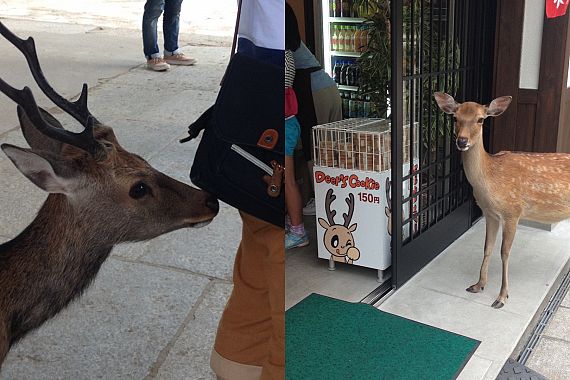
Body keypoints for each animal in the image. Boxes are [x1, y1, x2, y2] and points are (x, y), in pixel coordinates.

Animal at [434, 92, 568, 308]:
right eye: (455, 118)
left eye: (480, 119)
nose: (462, 141)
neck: (490, 181)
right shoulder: (490, 214)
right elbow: (487, 247)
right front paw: (478, 285)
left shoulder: (513, 211)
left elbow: (504, 252)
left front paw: (502, 297)